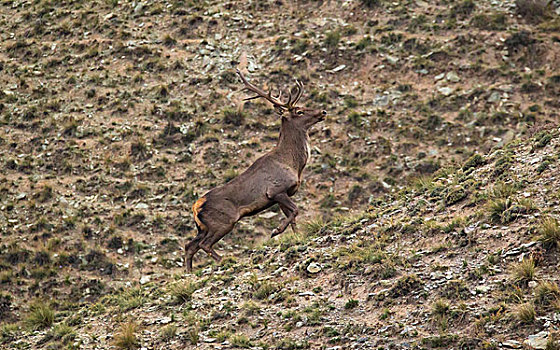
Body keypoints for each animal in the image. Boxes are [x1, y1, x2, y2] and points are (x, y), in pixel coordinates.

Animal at [184, 67, 326, 270]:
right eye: (299, 110)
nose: (323, 111)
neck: (292, 163)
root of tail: (196, 206)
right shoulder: (276, 190)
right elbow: (296, 210)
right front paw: (275, 231)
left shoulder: (282, 195)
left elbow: (293, 218)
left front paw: (297, 237)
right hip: (223, 222)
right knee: (204, 244)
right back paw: (224, 260)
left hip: (203, 227)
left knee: (190, 245)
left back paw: (189, 273)